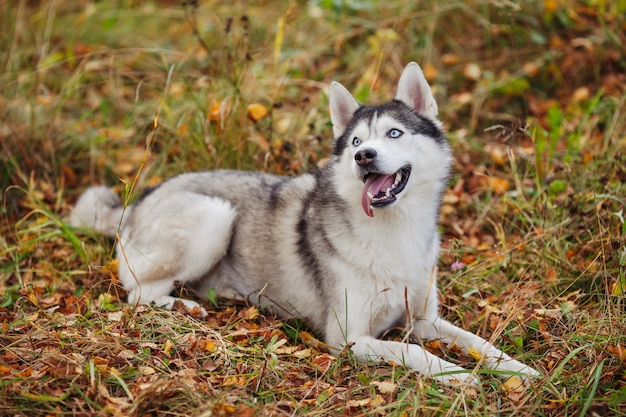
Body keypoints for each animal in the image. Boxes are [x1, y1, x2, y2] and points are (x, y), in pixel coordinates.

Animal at [69, 61, 536, 384]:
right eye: (356, 140)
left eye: (394, 134)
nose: (363, 156)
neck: (392, 230)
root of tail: (140, 198)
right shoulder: (350, 338)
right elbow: (414, 353)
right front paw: (458, 376)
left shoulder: (423, 320)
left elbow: (479, 342)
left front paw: (519, 369)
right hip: (215, 216)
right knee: (137, 293)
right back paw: (182, 306)